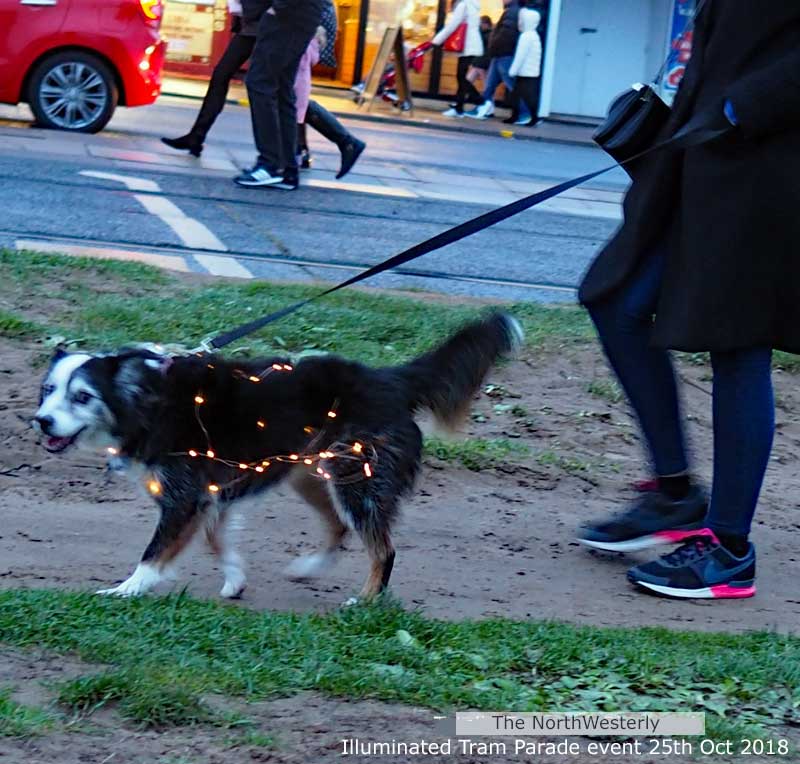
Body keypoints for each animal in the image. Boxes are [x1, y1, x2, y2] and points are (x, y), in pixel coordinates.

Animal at [31, 314, 520, 600]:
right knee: (340, 527)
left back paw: (364, 601)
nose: (42, 421)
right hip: (312, 474)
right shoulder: (213, 493)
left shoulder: (185, 495)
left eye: (83, 396)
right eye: (48, 390)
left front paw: (125, 590)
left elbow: (154, 554)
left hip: (356, 480)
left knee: (383, 549)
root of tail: (391, 379)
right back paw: (308, 568)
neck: (146, 400)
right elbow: (217, 540)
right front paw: (234, 580)